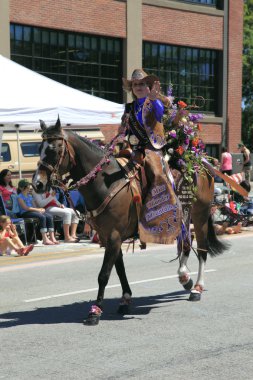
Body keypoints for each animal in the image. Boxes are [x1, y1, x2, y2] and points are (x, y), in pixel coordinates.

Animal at [32, 118, 228, 324]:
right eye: (39, 148)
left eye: (54, 149)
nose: (37, 184)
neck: (104, 183)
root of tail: (200, 162)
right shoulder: (108, 236)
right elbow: (119, 270)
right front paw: (125, 299)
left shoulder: (114, 236)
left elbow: (104, 274)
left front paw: (95, 310)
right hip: (183, 218)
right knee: (186, 244)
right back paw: (184, 277)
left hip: (200, 216)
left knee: (202, 248)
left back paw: (197, 287)